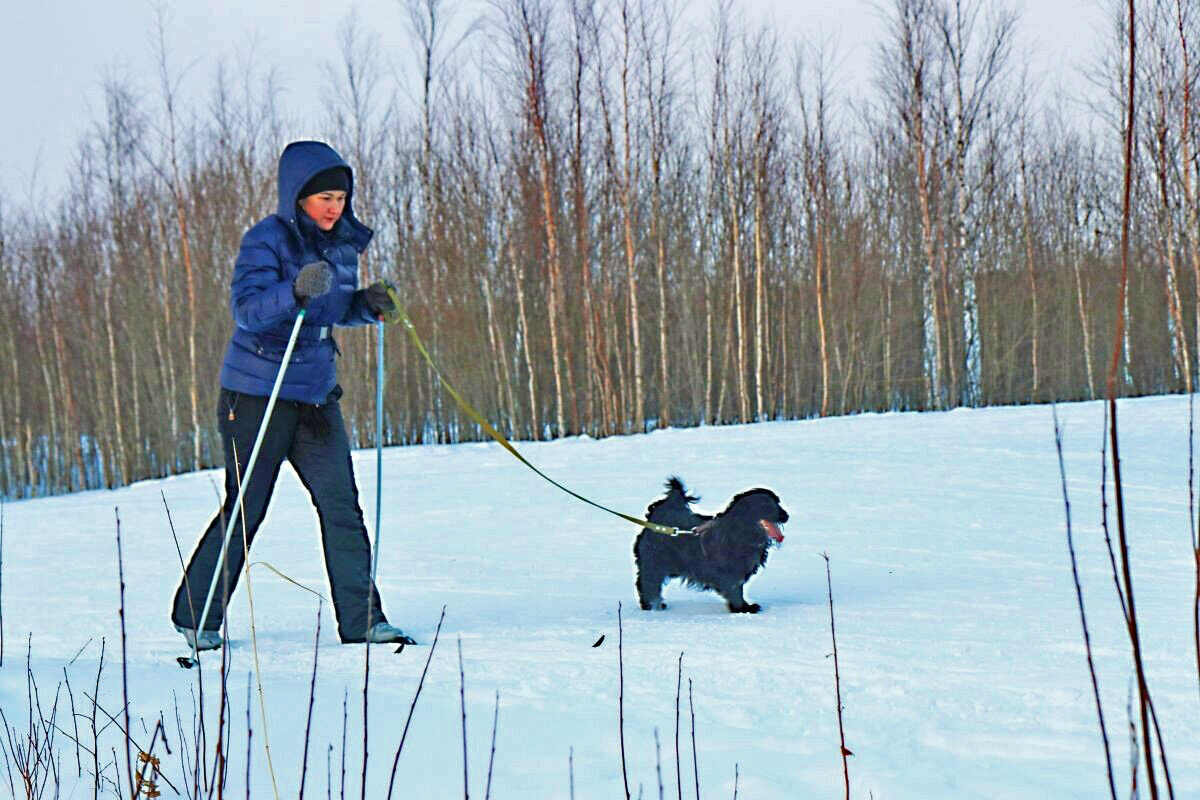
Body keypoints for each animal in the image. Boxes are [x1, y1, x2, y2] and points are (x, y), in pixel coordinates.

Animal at [633, 479, 792, 618]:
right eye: (765, 504)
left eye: (778, 502)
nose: (786, 515)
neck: (741, 532)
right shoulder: (730, 573)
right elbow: (735, 590)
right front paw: (742, 609)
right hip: (653, 562)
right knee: (648, 583)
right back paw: (652, 606)